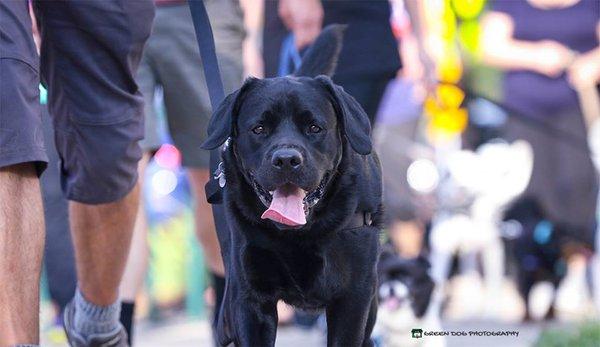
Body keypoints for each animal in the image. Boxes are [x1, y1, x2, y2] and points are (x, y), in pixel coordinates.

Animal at [200, 25, 380, 346]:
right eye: (259, 128)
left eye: (314, 128)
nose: (286, 160)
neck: (297, 233)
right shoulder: (249, 299)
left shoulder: (354, 298)